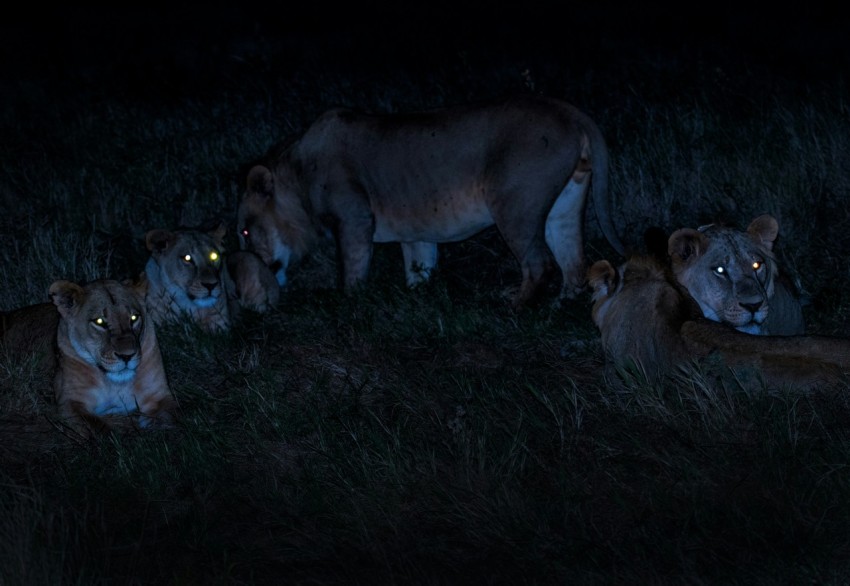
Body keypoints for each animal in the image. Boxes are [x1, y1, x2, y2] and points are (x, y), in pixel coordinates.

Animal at [0, 278, 176, 436]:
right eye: (99, 321)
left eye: (134, 318)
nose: (126, 356)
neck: (115, 383)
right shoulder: (70, 402)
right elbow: (97, 427)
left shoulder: (160, 395)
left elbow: (169, 417)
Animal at [237, 94, 625, 307]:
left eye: (244, 232)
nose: (251, 271)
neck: (298, 173)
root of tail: (570, 111)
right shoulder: (415, 234)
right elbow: (418, 268)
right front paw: (417, 298)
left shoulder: (354, 219)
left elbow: (352, 270)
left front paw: (349, 305)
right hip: (565, 204)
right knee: (572, 263)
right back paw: (558, 308)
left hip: (514, 205)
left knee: (539, 264)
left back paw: (514, 308)